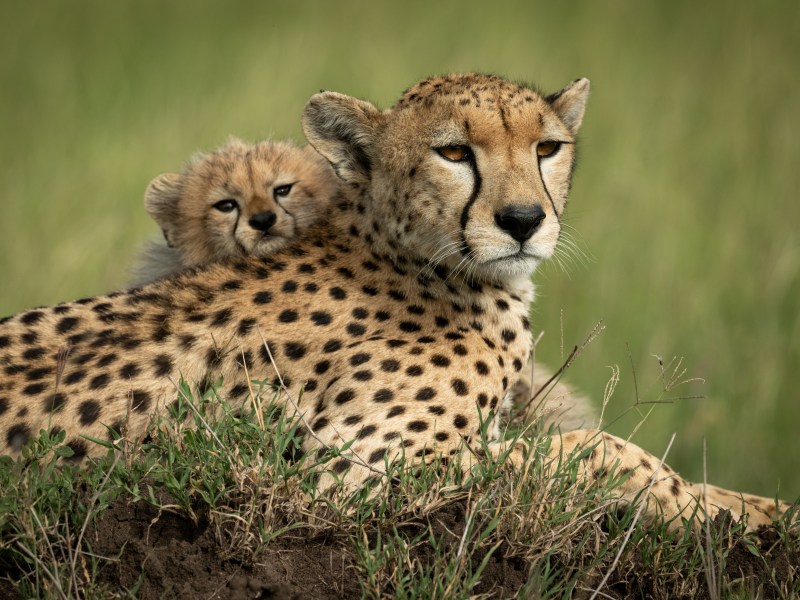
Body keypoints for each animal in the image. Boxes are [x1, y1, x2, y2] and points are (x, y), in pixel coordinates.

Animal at [0, 74, 792, 528]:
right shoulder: (358, 469)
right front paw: (711, 509)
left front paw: (758, 506)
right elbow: (591, 451)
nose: (523, 221)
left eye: (547, 148)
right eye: (454, 153)